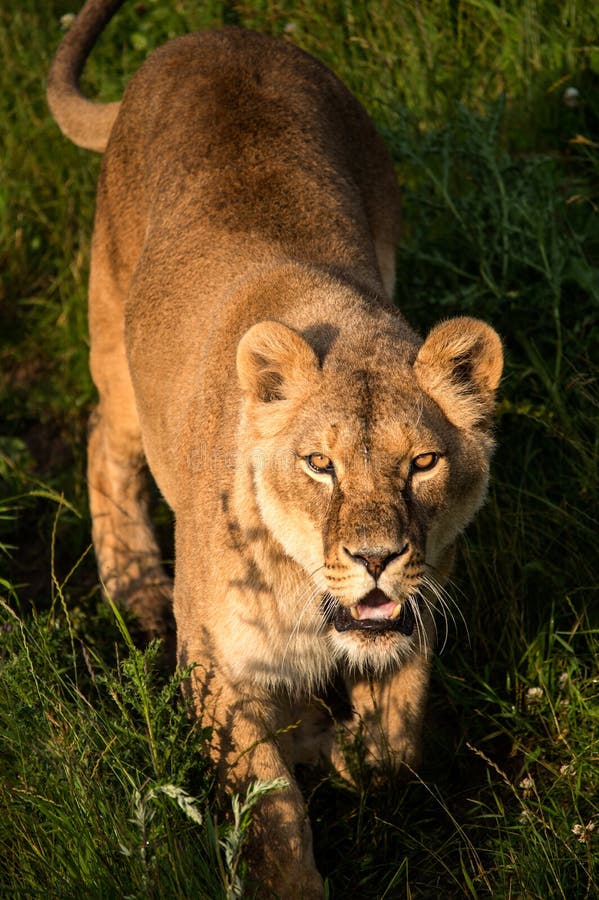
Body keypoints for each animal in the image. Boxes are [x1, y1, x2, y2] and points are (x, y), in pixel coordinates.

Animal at [47, 1, 503, 896]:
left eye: (422, 463)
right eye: (318, 465)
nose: (374, 558)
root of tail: (207, 37)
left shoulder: (414, 614)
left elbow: (392, 746)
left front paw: (335, 747)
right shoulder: (214, 663)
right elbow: (271, 809)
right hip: (114, 332)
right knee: (102, 436)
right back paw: (133, 585)